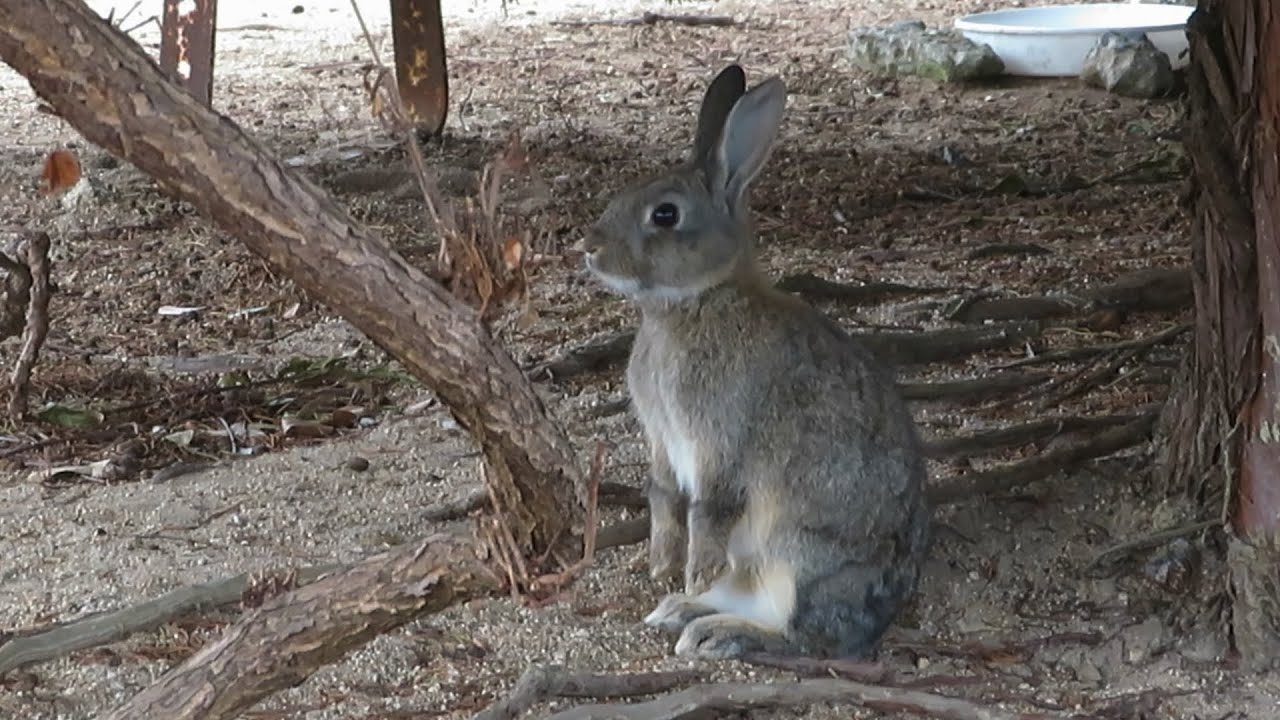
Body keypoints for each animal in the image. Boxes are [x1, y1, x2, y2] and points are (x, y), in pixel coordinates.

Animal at [580, 64, 931, 661]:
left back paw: (717, 631)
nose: (590, 247)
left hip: (798, 554)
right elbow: (662, 494)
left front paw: (690, 569)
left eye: (665, 214)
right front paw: (662, 565)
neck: (697, 301)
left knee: (805, 635)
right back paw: (682, 609)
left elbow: (709, 508)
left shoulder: (720, 441)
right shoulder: (662, 440)